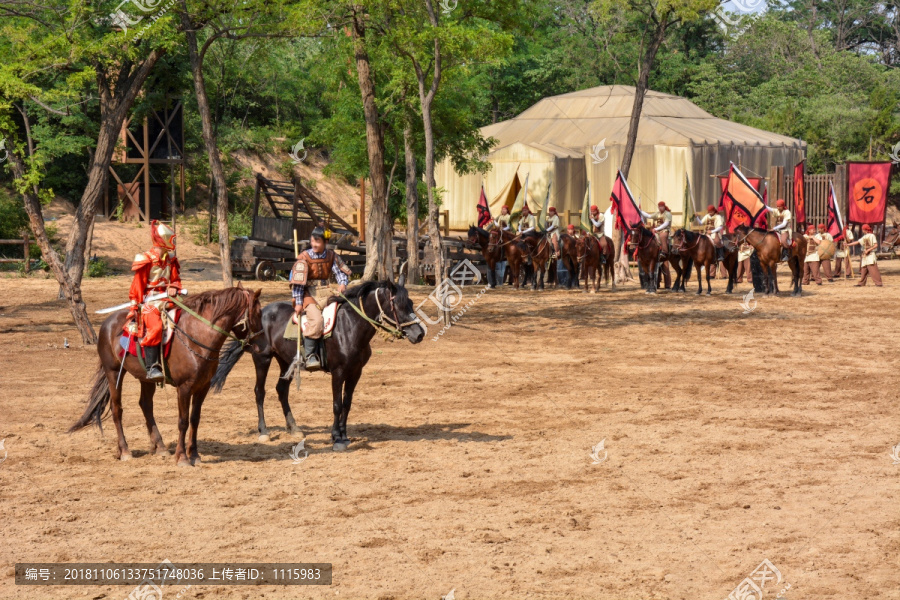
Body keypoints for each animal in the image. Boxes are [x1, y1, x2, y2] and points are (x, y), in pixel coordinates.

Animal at [69, 284, 264, 466]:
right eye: (258, 312)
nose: (260, 346)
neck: (197, 336)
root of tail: (107, 323)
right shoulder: (184, 388)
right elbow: (183, 421)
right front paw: (182, 457)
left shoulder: (203, 387)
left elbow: (195, 419)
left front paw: (194, 455)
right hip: (114, 372)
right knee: (117, 409)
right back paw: (124, 451)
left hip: (145, 378)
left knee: (146, 405)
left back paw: (159, 447)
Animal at [211, 280, 426, 450]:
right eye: (397, 304)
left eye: (410, 303)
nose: (419, 334)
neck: (350, 326)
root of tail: (260, 313)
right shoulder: (338, 373)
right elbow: (337, 405)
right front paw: (336, 438)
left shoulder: (355, 373)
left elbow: (347, 404)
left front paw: (344, 435)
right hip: (262, 358)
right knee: (259, 392)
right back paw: (263, 431)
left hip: (285, 361)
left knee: (281, 390)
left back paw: (294, 428)